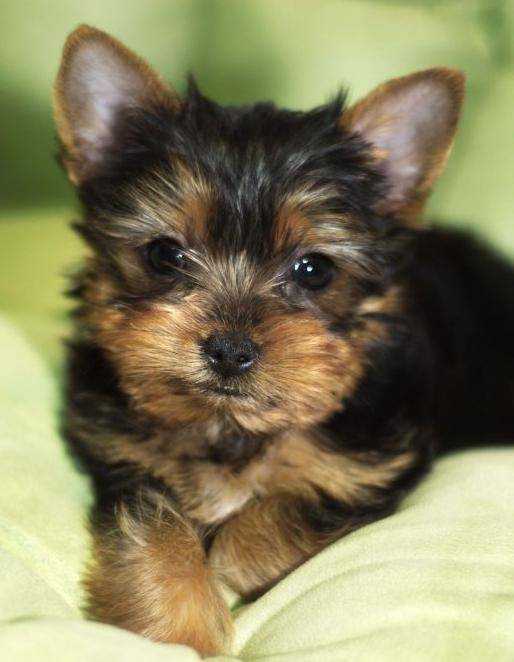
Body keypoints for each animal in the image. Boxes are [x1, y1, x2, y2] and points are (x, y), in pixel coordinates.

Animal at [55, 24, 512, 660]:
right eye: (164, 255)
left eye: (314, 270)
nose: (229, 350)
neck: (231, 427)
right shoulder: (125, 457)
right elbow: (151, 524)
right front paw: (176, 627)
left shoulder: (372, 469)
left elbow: (274, 521)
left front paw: (228, 555)